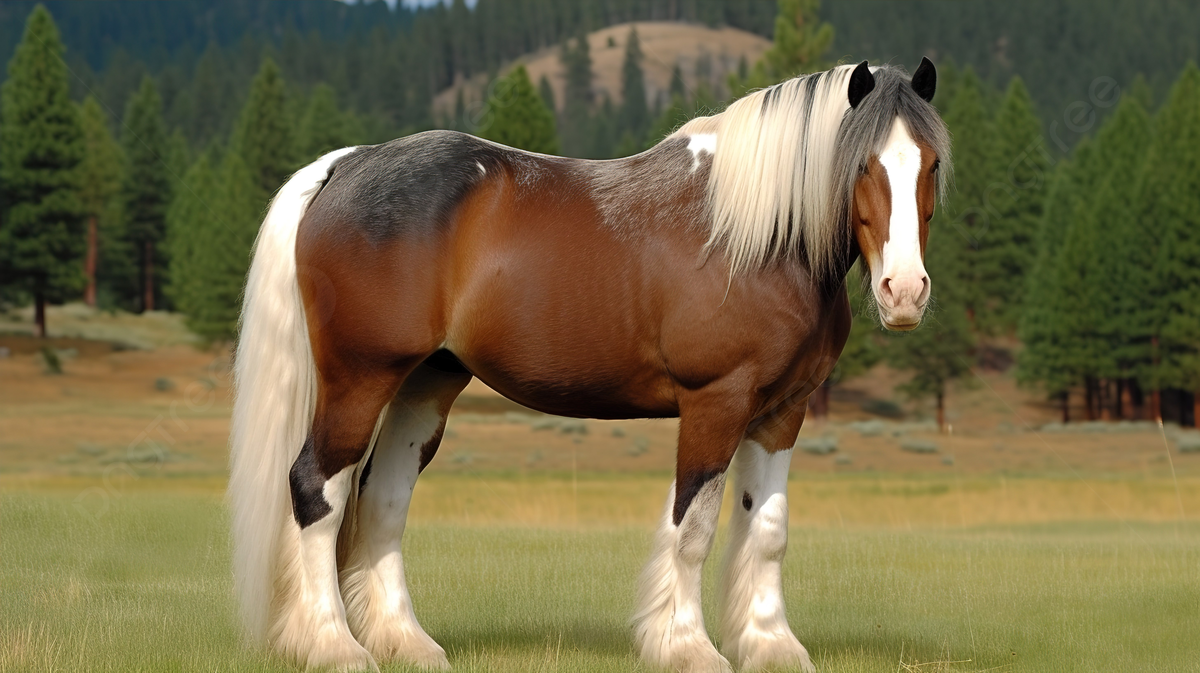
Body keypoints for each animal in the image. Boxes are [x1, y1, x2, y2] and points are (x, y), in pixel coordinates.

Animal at [228, 58, 950, 672]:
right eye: (862, 164)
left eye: (932, 164)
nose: (906, 293)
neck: (756, 235)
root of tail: (347, 164)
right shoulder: (715, 402)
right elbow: (692, 527)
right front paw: (687, 646)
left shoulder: (782, 412)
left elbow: (766, 529)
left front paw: (772, 646)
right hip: (361, 378)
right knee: (317, 488)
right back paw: (334, 645)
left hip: (425, 384)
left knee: (382, 498)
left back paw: (406, 641)